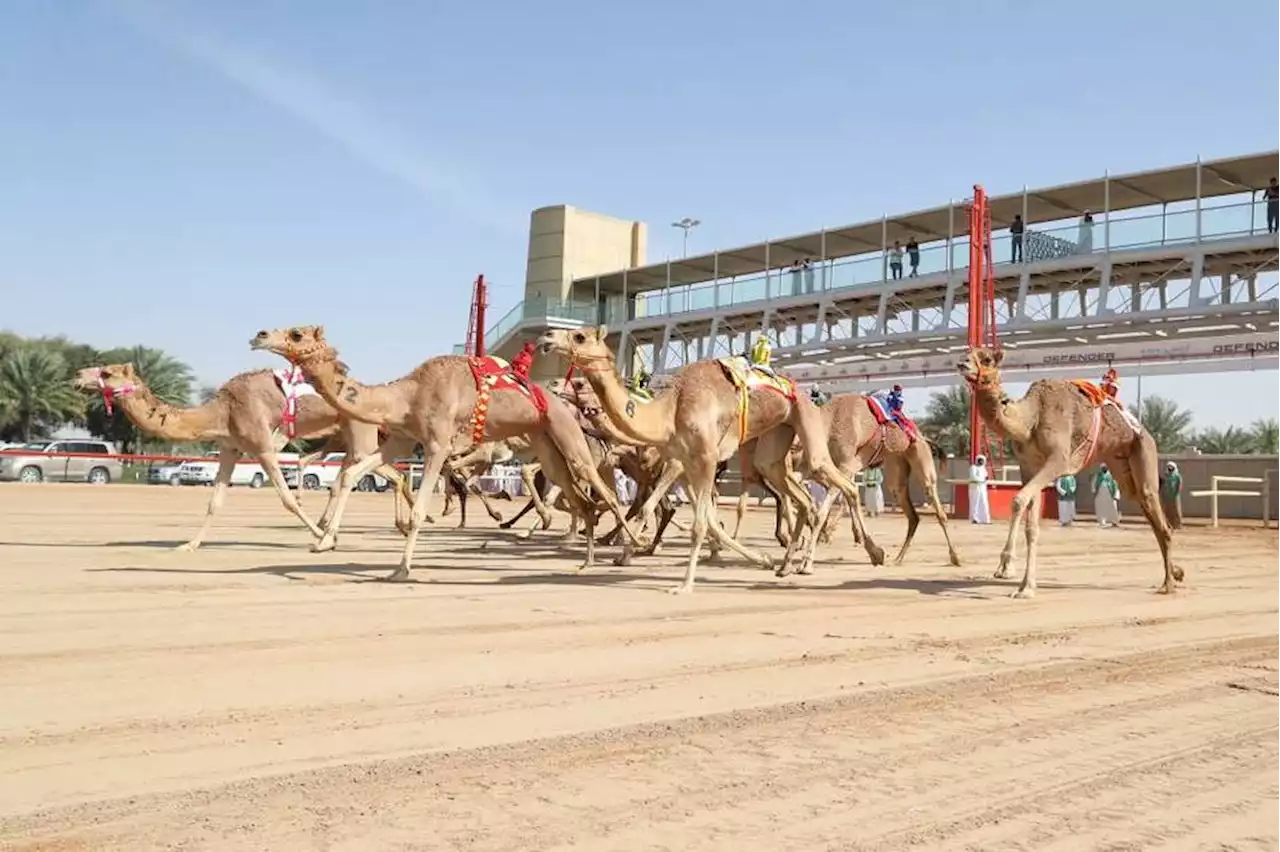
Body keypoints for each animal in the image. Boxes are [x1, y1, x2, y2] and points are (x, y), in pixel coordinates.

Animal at [73, 360, 414, 547]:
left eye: (107, 372)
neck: (221, 410)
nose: (77, 375)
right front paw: (189, 545)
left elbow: (287, 499)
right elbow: (214, 502)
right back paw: (405, 524)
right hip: (353, 439)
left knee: (382, 474)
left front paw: (321, 536)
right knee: (389, 475)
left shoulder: (263, 445)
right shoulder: (230, 448)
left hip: (360, 435)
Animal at [250, 324, 645, 578]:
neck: (407, 395)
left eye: (296, 333)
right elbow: (350, 474)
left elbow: (419, 507)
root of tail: (559, 401)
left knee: (605, 492)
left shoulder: (438, 443)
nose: (259, 335)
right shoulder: (401, 440)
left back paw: (630, 546)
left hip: (569, 438)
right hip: (546, 446)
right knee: (582, 500)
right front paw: (324, 541)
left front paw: (401, 568)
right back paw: (586, 560)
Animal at [540, 324, 870, 591]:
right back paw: (787, 564)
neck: (669, 410)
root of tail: (797, 388)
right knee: (802, 498)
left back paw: (865, 553)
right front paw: (761, 558)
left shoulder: (704, 458)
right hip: (775, 442)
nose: (546, 336)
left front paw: (683, 584)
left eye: (579, 336)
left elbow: (698, 524)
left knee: (842, 485)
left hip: (806, 424)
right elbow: (709, 522)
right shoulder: (685, 463)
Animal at [957, 345, 1182, 596]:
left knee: (1153, 505)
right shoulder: (1029, 465)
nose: (962, 363)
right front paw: (1025, 584)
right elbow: (1032, 525)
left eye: (986, 359)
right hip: (1121, 465)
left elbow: (1017, 500)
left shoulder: (1059, 460)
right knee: (1145, 506)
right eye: (967, 353)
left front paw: (1007, 569)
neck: (1031, 419)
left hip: (1144, 451)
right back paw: (1175, 574)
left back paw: (1168, 584)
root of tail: (1144, 431)